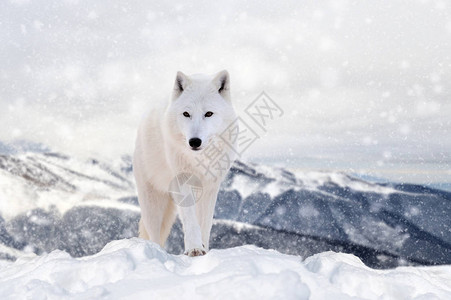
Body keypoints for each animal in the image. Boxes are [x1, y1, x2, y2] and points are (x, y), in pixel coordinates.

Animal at [133, 69, 237, 255]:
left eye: (208, 113)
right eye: (186, 114)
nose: (194, 141)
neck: (200, 160)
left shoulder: (210, 188)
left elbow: (205, 224)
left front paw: (204, 249)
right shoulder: (182, 183)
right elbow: (190, 221)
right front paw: (194, 249)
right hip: (152, 204)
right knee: (154, 235)